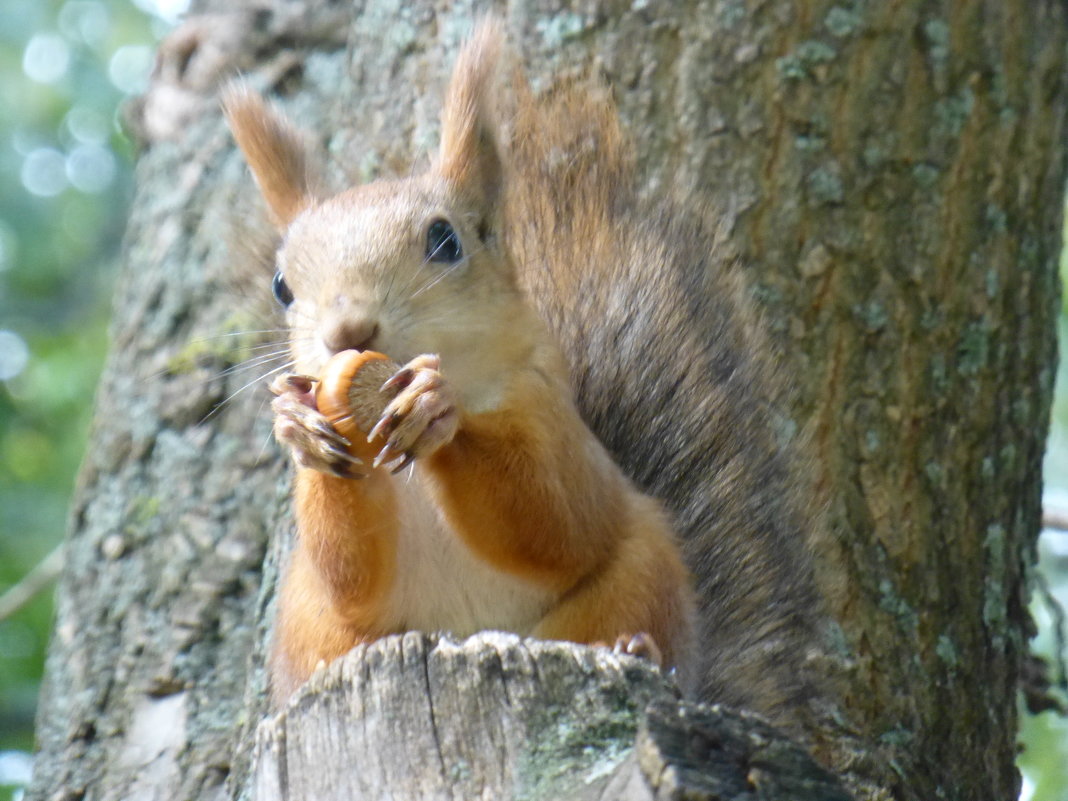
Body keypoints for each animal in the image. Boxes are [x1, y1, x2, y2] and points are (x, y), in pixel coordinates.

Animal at [223, 18, 824, 739]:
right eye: (282, 286)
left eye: (445, 241)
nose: (348, 332)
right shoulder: (338, 566)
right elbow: (348, 572)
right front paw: (299, 428)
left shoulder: (546, 411)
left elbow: (551, 519)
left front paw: (438, 407)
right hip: (313, 626)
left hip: (637, 572)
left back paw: (635, 647)